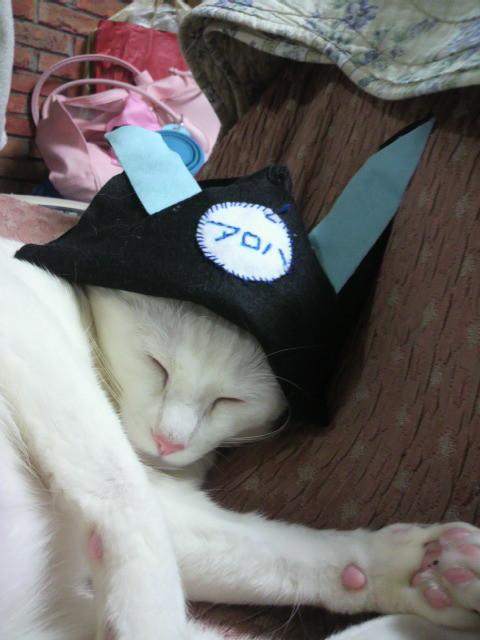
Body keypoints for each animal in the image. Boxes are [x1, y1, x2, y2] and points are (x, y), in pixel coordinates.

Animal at [1, 235, 479, 640]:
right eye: (158, 366)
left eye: (228, 401)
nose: (169, 442)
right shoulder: (30, 331)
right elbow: (121, 487)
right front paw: (145, 616)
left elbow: (267, 548)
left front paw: (401, 569)